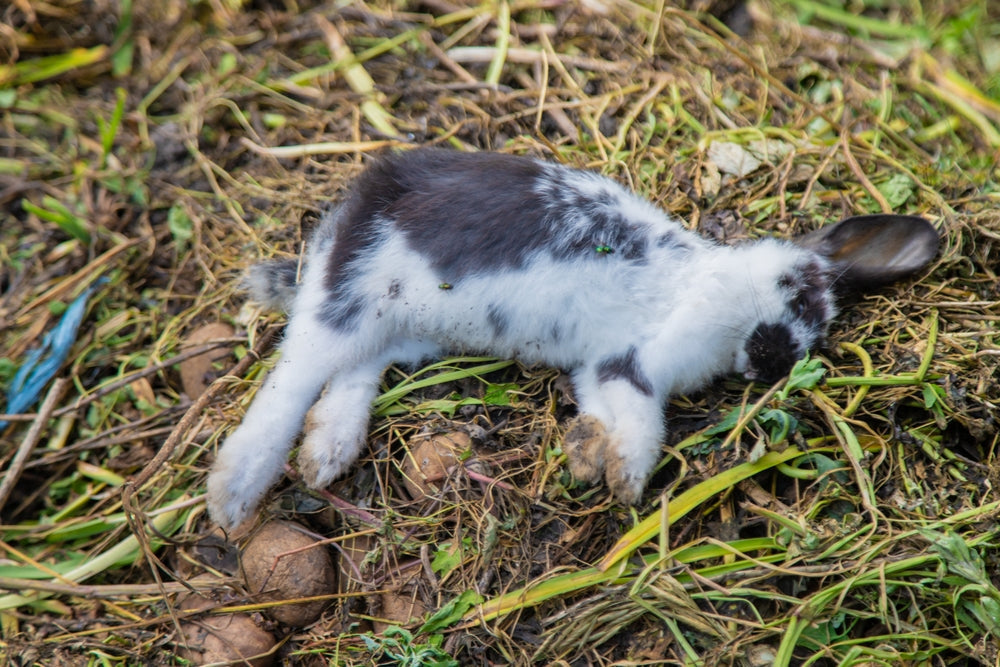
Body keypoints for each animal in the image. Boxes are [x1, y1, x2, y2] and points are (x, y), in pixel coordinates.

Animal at [206, 147, 939, 530]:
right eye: (798, 292)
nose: (775, 359)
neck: (699, 281)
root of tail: (349, 213)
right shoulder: (639, 362)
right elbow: (646, 425)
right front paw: (624, 480)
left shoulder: (606, 367)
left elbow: (618, 412)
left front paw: (591, 455)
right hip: (354, 298)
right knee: (293, 378)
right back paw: (233, 496)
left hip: (405, 330)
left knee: (356, 370)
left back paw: (327, 450)